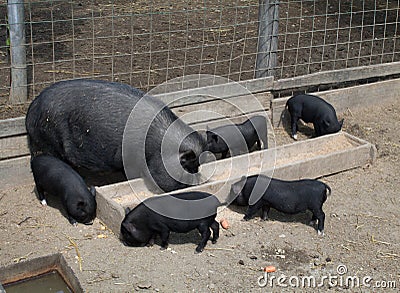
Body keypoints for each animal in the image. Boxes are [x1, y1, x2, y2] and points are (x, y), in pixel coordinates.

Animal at [25, 78, 206, 192]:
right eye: (185, 166)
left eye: (197, 166)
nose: (196, 181)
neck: (157, 148)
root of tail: (31, 113)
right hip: (50, 140)